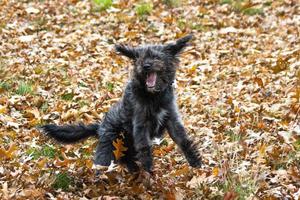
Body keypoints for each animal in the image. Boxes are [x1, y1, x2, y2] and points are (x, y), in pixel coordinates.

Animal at [41, 35, 202, 173]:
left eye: (156, 57)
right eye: (139, 58)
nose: (146, 66)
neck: (154, 96)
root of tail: (100, 127)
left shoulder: (171, 118)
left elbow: (183, 140)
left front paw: (194, 160)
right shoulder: (140, 123)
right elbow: (144, 145)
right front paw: (148, 165)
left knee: (127, 159)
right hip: (109, 147)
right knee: (101, 164)